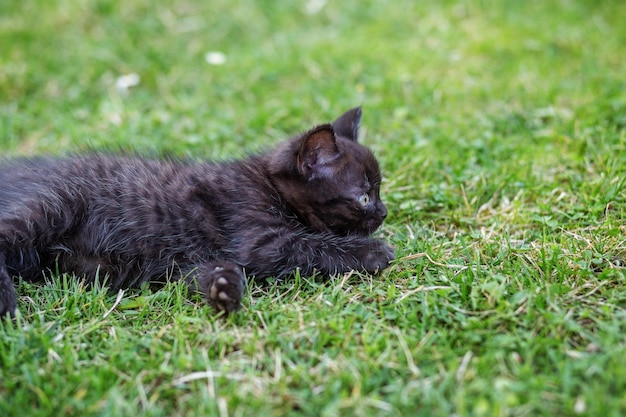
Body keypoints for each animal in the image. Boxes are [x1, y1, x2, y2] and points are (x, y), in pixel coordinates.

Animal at [0, 107, 392, 316]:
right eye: (363, 197)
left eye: (378, 191)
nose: (384, 212)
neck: (268, 183)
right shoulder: (258, 236)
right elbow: (311, 245)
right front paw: (372, 252)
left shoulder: (191, 261)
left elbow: (211, 270)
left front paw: (224, 289)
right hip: (52, 205)